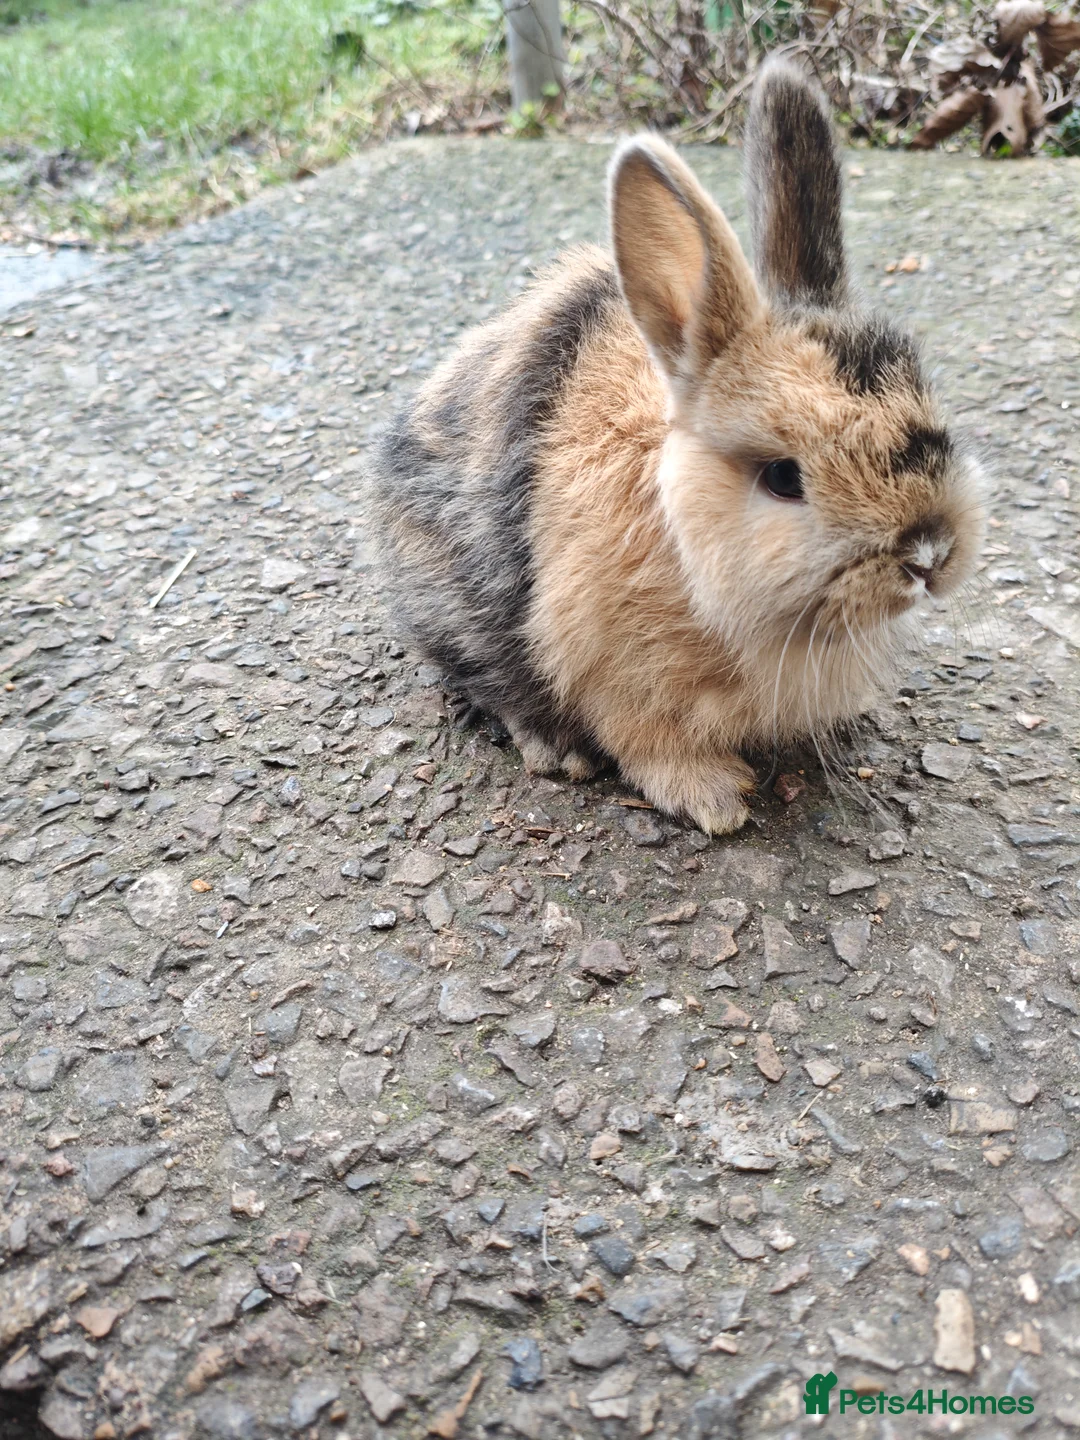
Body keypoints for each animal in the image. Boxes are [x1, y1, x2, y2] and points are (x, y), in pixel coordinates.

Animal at [370, 57, 984, 835]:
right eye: (783, 477)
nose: (930, 554)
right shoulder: (615, 673)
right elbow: (649, 742)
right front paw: (716, 800)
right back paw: (555, 749)